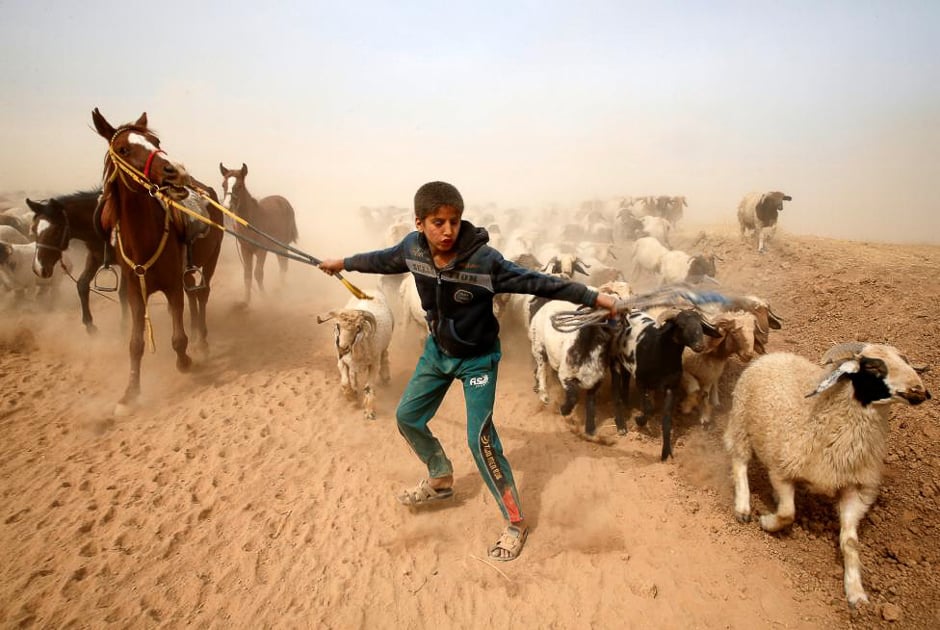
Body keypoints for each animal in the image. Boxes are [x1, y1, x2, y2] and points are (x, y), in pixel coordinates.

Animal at [92, 108, 226, 414]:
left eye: (155, 141)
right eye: (123, 149)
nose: (175, 171)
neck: (144, 240)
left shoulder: (172, 286)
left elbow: (178, 339)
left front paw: (186, 362)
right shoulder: (135, 292)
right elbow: (135, 344)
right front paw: (129, 394)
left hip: (210, 261)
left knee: (202, 296)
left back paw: (202, 341)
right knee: (194, 296)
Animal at [218, 163, 296, 306]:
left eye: (239, 186)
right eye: (223, 185)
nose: (226, 207)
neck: (251, 221)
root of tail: (284, 201)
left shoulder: (261, 250)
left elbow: (258, 273)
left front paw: (264, 298)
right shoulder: (245, 250)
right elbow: (247, 275)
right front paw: (246, 301)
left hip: (282, 245)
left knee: (284, 265)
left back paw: (281, 289)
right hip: (277, 247)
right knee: (282, 263)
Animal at [318, 292, 394, 422]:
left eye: (358, 327)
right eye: (337, 325)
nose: (342, 348)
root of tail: (371, 290)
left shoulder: (374, 364)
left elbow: (369, 388)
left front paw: (369, 412)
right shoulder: (342, 362)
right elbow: (344, 383)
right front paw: (351, 399)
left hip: (384, 346)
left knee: (385, 356)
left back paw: (385, 376)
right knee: (353, 375)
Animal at [608, 310, 720, 462]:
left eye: (701, 325)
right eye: (681, 325)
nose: (699, 346)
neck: (660, 353)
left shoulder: (671, 388)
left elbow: (666, 420)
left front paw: (666, 452)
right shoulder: (641, 382)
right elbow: (649, 408)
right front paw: (639, 420)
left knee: (625, 380)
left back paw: (627, 406)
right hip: (614, 359)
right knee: (615, 389)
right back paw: (621, 425)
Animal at [724, 344, 928, 608]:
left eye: (905, 361)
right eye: (873, 366)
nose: (919, 390)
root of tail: (776, 355)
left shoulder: (855, 489)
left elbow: (850, 542)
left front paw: (856, 593)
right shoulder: (782, 469)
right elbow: (788, 513)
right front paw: (767, 522)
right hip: (741, 420)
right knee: (739, 461)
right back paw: (743, 507)